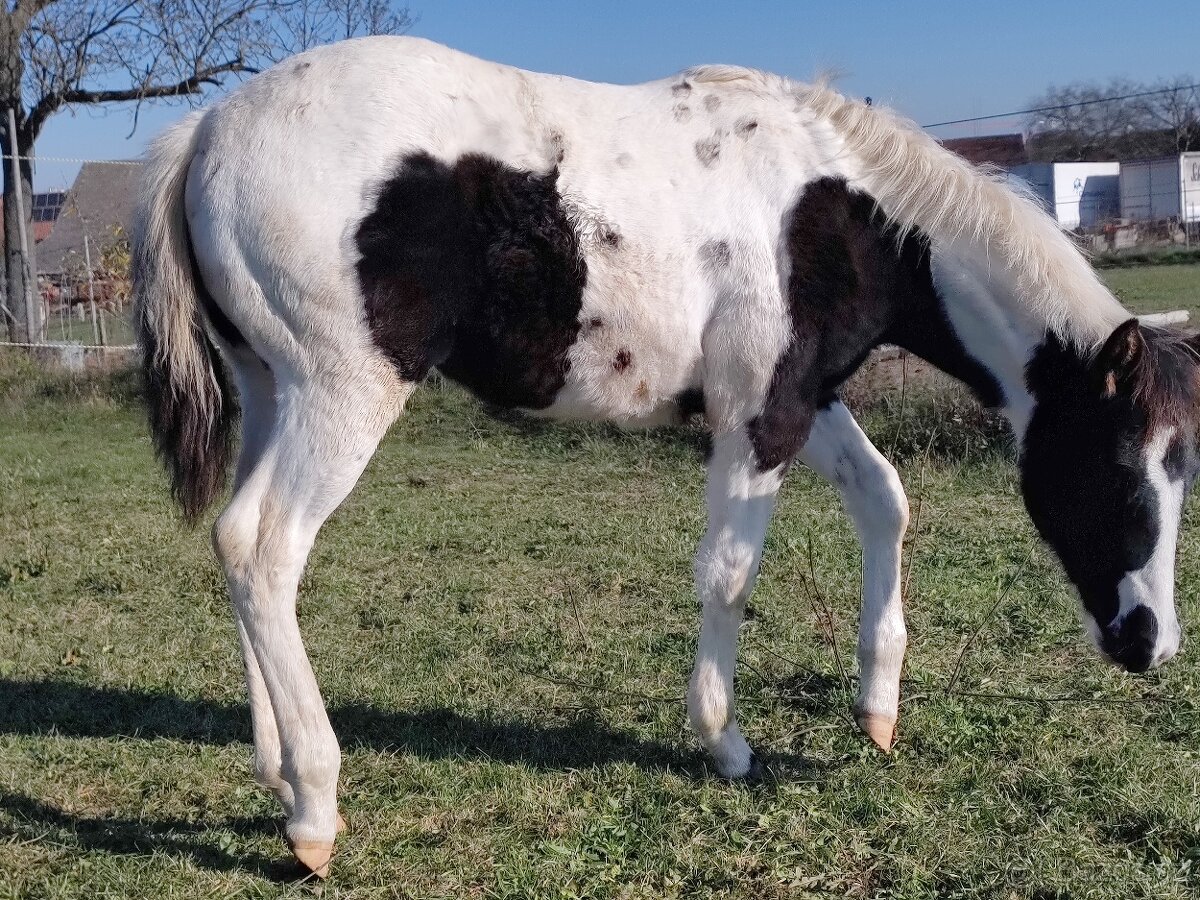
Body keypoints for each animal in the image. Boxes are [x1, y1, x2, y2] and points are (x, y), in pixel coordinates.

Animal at [132, 37, 1200, 876]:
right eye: (1118, 472)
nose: (1150, 644)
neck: (836, 209)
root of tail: (208, 130)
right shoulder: (758, 417)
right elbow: (729, 574)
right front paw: (724, 742)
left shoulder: (805, 399)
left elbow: (886, 499)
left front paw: (878, 707)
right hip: (341, 395)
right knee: (265, 546)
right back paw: (314, 811)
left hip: (270, 392)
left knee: (238, 549)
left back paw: (274, 772)